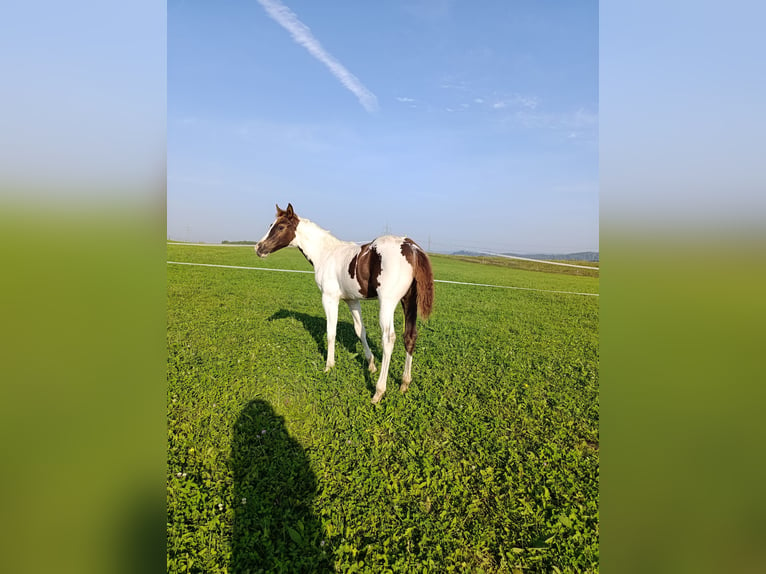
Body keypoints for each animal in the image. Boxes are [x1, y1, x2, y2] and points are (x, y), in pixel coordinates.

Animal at [256, 205, 436, 402]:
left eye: (281, 227)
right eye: (271, 225)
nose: (258, 248)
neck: (326, 254)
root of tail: (411, 247)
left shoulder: (329, 298)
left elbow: (331, 332)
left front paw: (329, 365)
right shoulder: (352, 300)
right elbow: (360, 331)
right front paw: (371, 364)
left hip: (388, 303)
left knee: (389, 339)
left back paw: (379, 391)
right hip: (409, 301)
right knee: (410, 336)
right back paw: (404, 383)